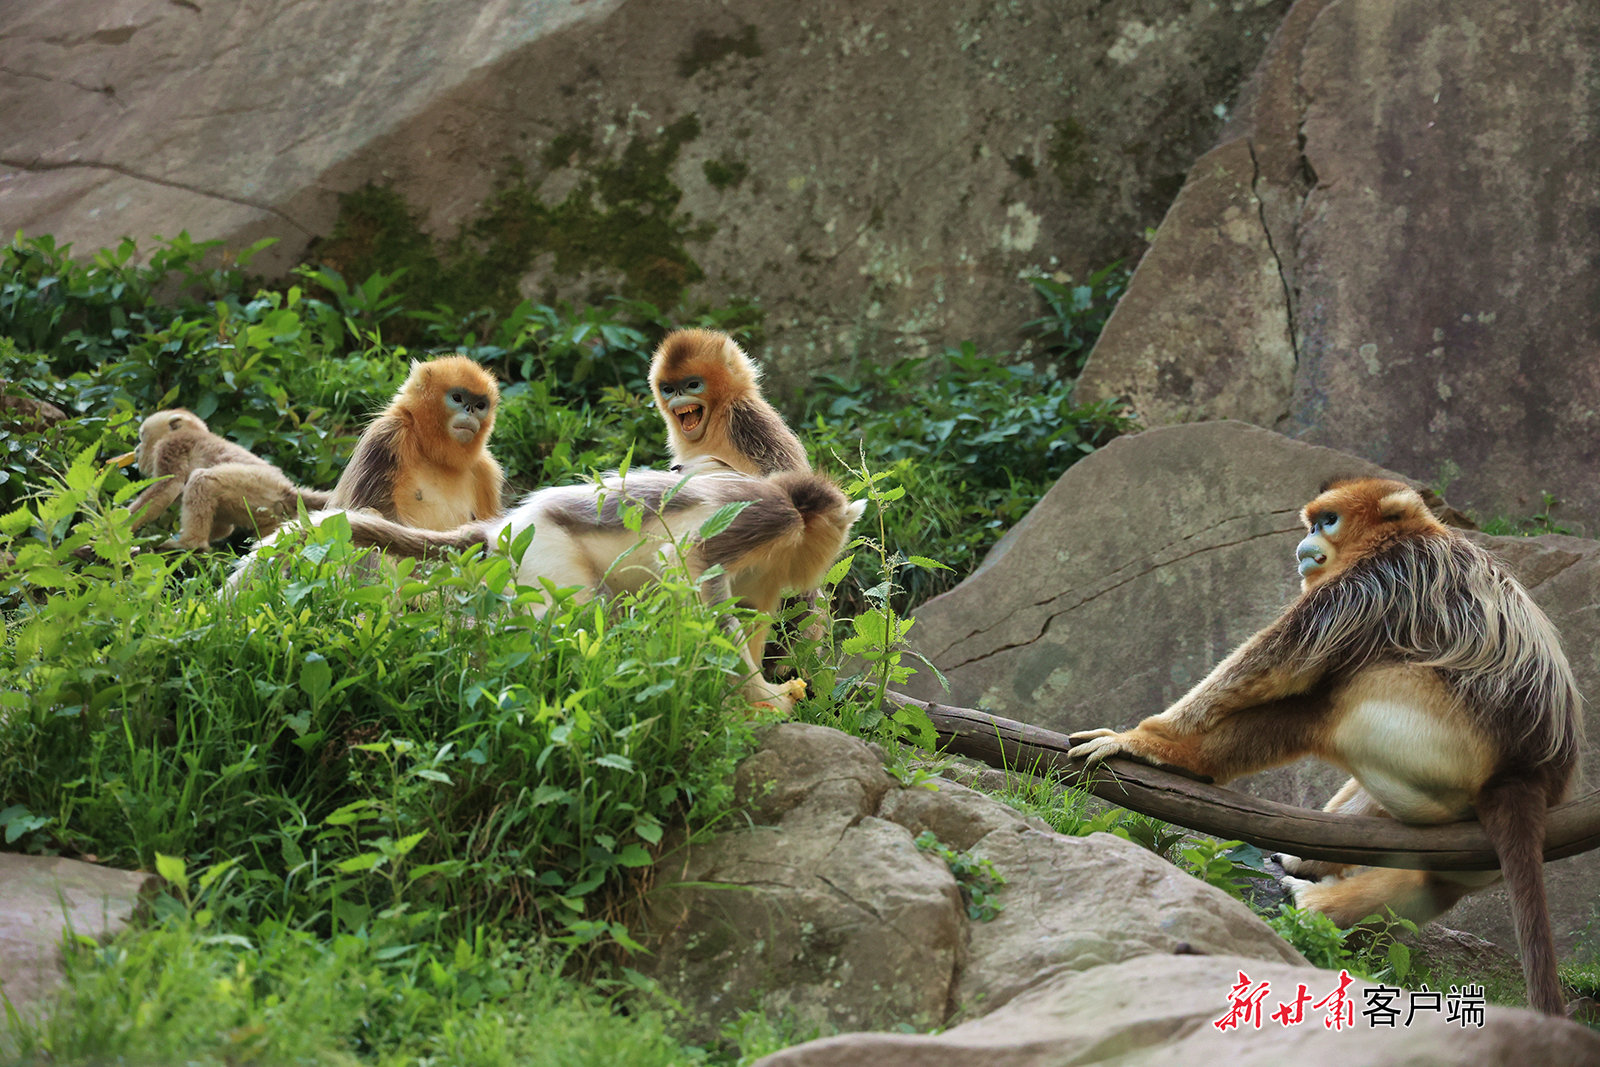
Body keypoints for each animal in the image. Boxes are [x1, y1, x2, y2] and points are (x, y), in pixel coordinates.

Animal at [116, 404, 331, 547]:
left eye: (142, 437)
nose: (137, 450)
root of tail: (287, 488)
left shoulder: (172, 445)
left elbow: (168, 487)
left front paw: (116, 530)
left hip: (255, 485)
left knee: (201, 478)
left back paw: (190, 543)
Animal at [334, 356, 508, 527]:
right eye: (457, 398)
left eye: (480, 405)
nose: (470, 410)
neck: (432, 453)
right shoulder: (388, 434)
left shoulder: (486, 469)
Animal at [1068, 476, 1580, 1017]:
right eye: (1312, 523)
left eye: (1327, 522)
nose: (1305, 544)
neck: (1418, 533)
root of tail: (1527, 777)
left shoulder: (1377, 579)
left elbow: (1276, 664)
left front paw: (1145, 738)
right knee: (1431, 880)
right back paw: (1314, 876)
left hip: (1439, 737)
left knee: (1326, 701)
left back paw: (1193, 767)